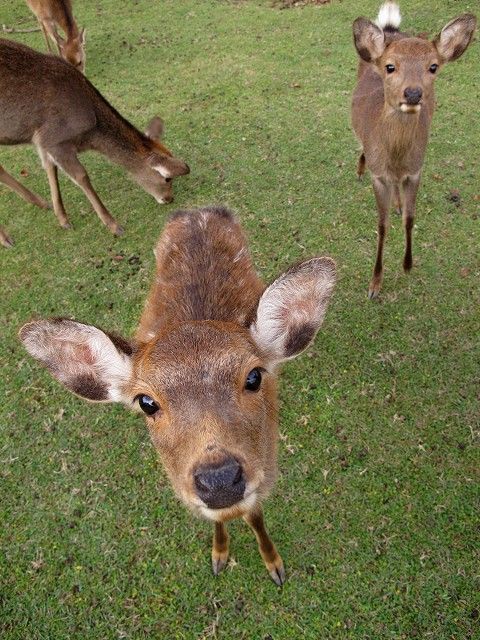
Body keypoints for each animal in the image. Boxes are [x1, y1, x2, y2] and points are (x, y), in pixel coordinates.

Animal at [0, 38, 191, 245]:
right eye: (167, 178)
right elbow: (81, 176)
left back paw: (40, 203)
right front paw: (114, 226)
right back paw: (6, 238)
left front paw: (62, 219)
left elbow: (50, 168)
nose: (169, 199)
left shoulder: (41, 140)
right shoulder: (54, 138)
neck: (90, 136)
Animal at [19, 206, 338, 584]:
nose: (219, 480)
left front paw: (274, 565)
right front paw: (219, 556)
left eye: (254, 376)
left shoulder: (266, 464)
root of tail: (197, 209)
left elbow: (255, 514)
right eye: (146, 402)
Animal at [352, 2, 476, 298]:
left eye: (433, 66)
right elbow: (382, 226)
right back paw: (360, 168)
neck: (395, 157)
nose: (412, 94)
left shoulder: (416, 170)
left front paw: (407, 264)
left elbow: (410, 218)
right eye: (390, 66)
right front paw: (374, 284)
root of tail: (390, 30)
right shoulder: (379, 175)